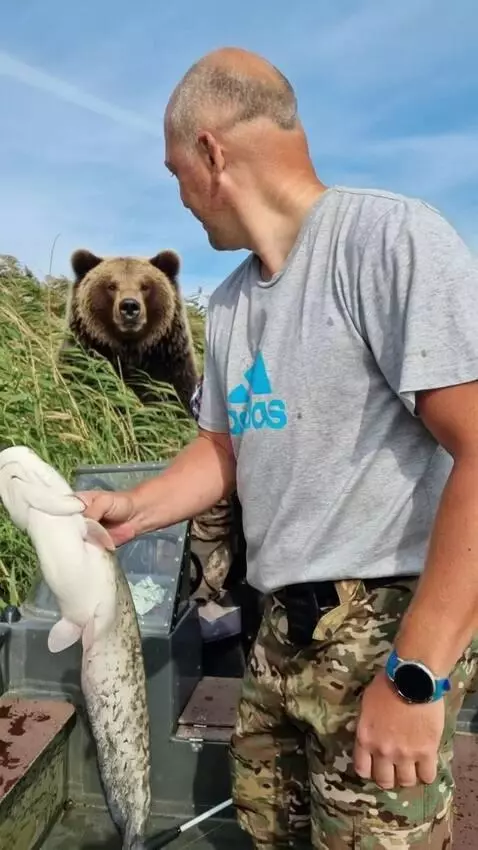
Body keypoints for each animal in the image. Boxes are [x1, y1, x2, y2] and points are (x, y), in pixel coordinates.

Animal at [64, 247, 199, 412]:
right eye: (111, 286)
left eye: (145, 286)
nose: (129, 305)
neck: (129, 352)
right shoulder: (82, 362)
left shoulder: (171, 367)